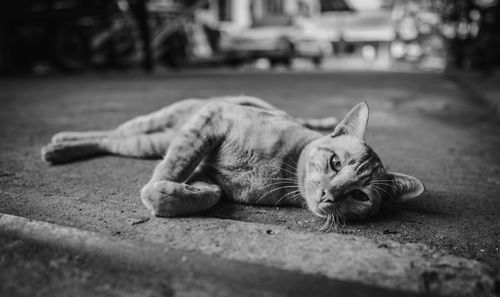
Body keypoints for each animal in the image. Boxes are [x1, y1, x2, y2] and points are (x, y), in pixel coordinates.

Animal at [41, 95, 424, 224]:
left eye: (360, 195)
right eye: (335, 163)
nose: (328, 196)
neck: (284, 168)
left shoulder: (208, 178)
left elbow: (205, 194)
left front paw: (165, 195)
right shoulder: (212, 120)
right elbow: (172, 167)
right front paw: (155, 188)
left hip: (151, 141)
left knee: (112, 140)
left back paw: (61, 146)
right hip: (156, 129)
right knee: (111, 134)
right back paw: (59, 143)